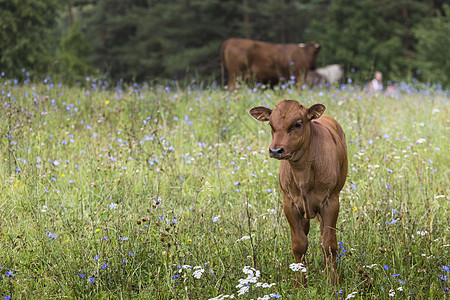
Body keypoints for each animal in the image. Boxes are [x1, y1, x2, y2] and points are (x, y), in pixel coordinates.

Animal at [250, 99, 348, 284]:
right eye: (271, 125)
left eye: (297, 124)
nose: (275, 150)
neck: (303, 174)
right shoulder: (289, 203)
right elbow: (299, 244)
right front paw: (299, 282)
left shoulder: (331, 201)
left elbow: (329, 244)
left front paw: (333, 282)